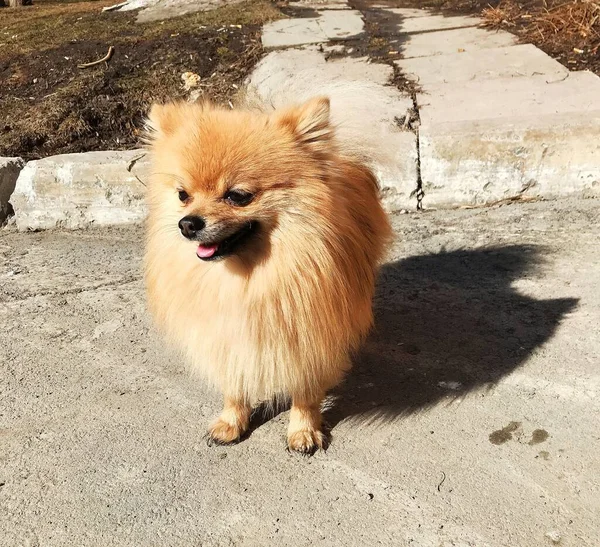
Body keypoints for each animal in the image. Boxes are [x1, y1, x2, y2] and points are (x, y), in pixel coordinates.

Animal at [144, 93, 392, 454]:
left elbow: (305, 390)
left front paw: (303, 429)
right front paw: (232, 421)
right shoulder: (225, 333)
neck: (248, 278)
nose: (187, 224)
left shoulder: (309, 333)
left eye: (237, 196)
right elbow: (235, 380)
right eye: (182, 195)